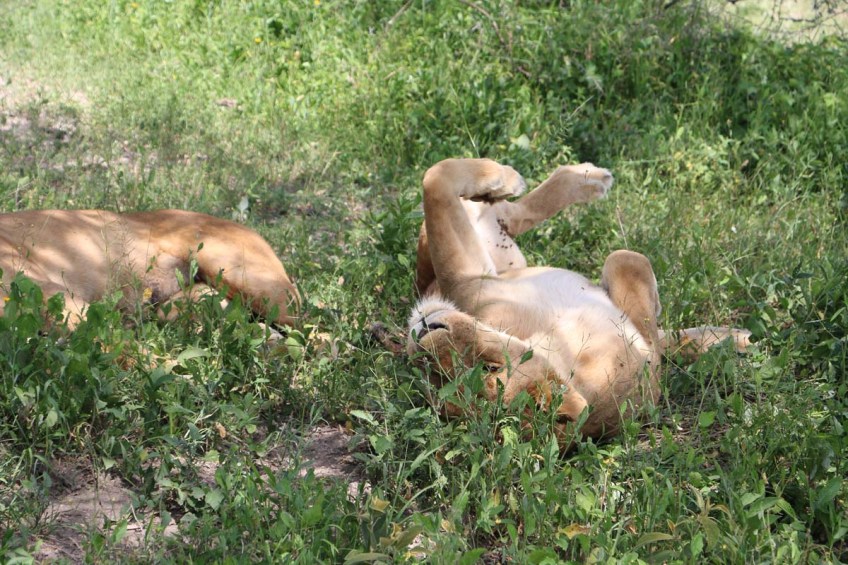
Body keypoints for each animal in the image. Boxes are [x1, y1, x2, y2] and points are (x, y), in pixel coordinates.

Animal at [407, 159, 750, 448]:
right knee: (499, 209)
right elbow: (436, 180)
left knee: (505, 212)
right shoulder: (467, 281)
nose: (423, 332)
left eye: (489, 367)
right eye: (437, 379)